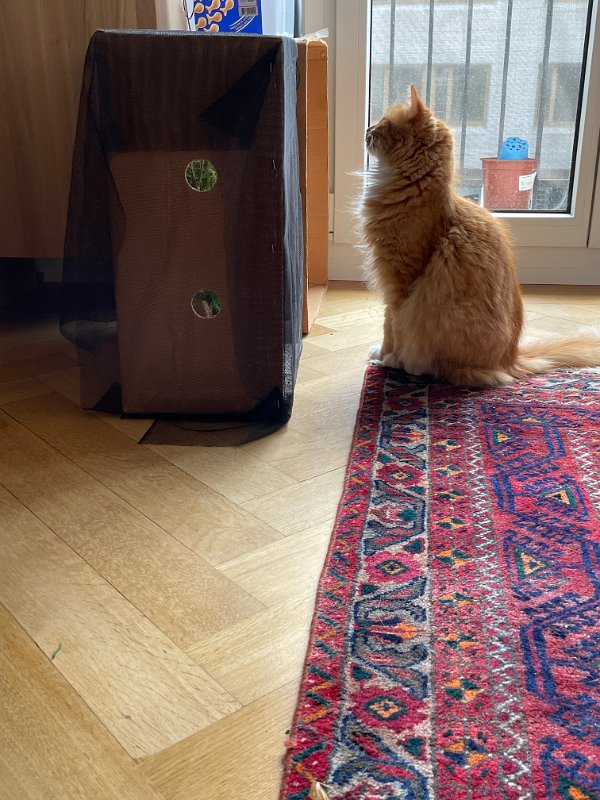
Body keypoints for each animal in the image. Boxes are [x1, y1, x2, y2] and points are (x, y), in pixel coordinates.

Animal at [361, 85, 600, 386]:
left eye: (384, 124)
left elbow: (391, 325)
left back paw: (408, 364)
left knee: (436, 366)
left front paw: (385, 355)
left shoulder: (398, 282)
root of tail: (510, 358)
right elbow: (391, 323)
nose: (367, 130)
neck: (416, 189)